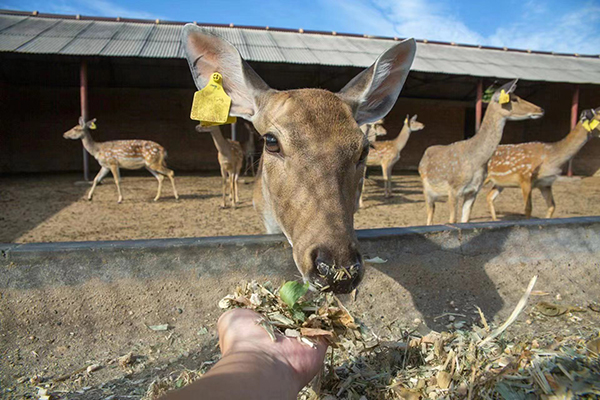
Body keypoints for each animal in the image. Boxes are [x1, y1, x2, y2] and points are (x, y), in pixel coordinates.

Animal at [418, 79, 544, 225]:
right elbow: (452, 220)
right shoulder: (453, 188)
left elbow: (465, 219)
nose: (541, 109)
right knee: (430, 214)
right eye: (514, 98)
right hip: (426, 189)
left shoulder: (473, 191)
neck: (477, 161)